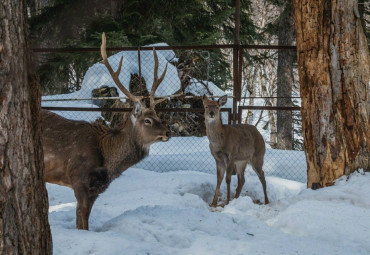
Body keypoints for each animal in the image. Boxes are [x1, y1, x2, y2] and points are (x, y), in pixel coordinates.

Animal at [43, 32, 171, 230]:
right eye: (147, 120)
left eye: (158, 116)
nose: (168, 132)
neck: (107, 159)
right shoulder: (78, 178)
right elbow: (82, 221)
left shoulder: (97, 189)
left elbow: (84, 220)